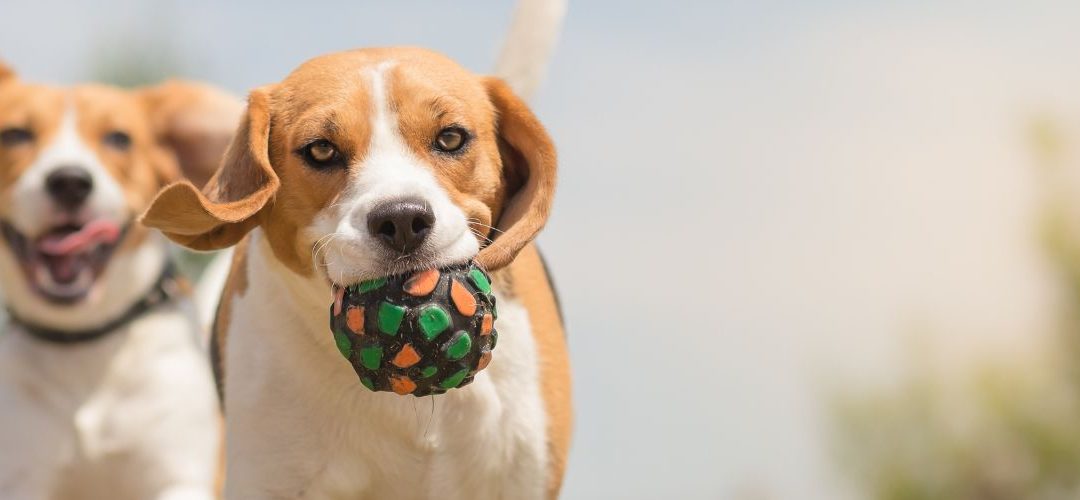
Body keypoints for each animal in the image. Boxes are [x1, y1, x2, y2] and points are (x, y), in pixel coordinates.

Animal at [0, 63, 238, 500]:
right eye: (15, 134)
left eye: (118, 139)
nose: (70, 181)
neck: (85, 349)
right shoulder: (19, 476)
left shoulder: (183, 475)